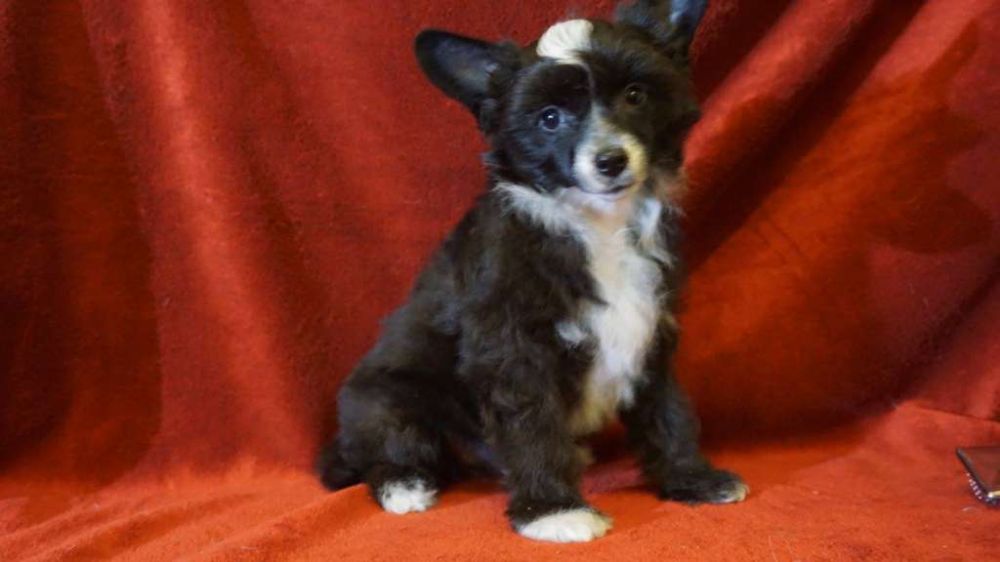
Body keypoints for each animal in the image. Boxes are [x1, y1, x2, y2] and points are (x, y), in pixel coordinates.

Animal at [317, 0, 748, 543]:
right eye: (549, 118)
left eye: (635, 95)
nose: (610, 160)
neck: (596, 223)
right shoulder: (512, 345)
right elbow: (531, 422)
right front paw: (552, 510)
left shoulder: (651, 326)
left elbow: (666, 409)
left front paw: (692, 477)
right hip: (386, 402)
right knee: (388, 448)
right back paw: (405, 486)